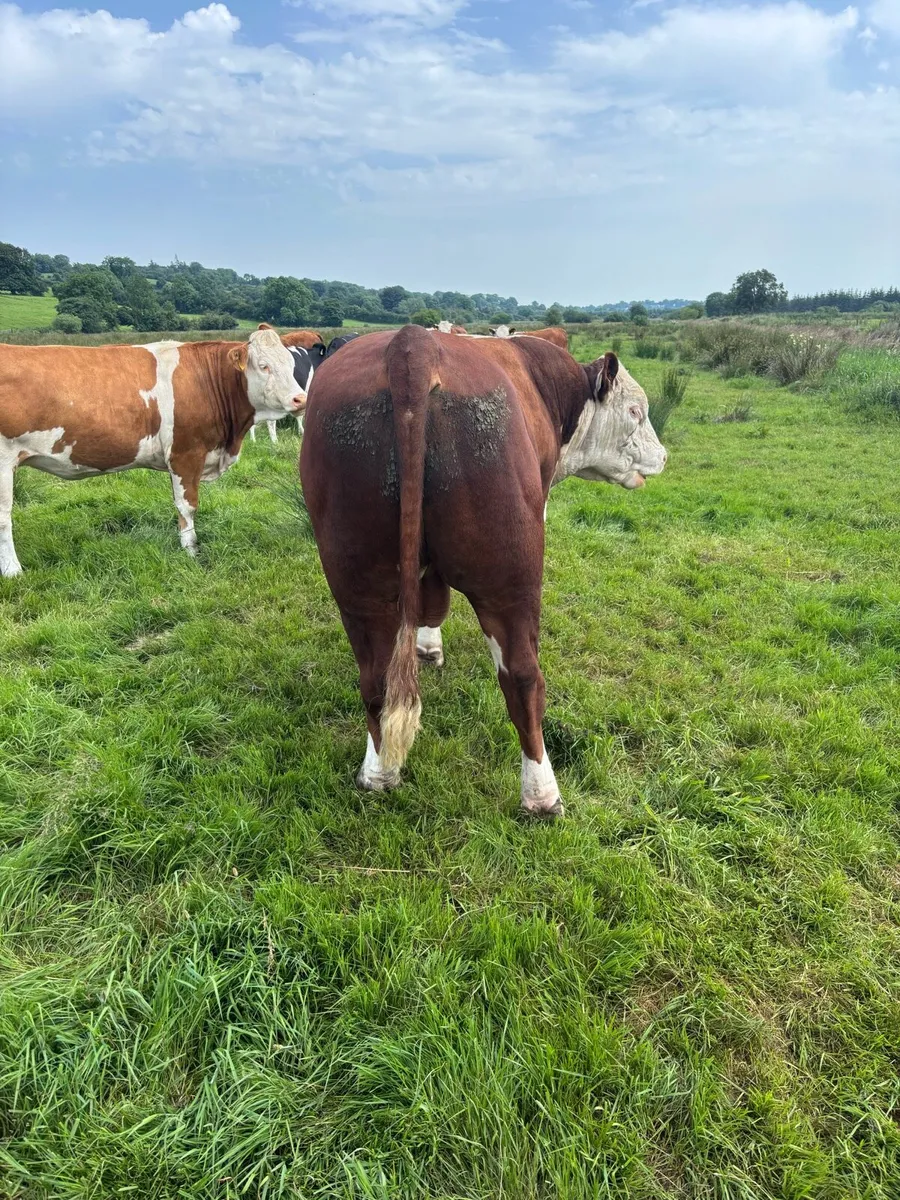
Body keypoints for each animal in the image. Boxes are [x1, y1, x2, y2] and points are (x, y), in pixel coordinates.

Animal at [0, 324, 305, 575]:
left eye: (291, 363)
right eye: (264, 366)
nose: (300, 398)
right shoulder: (185, 454)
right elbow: (187, 506)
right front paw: (191, 550)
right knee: (4, 518)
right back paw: (13, 571)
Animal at [300, 325, 667, 817]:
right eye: (635, 411)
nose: (663, 456)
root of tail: (412, 344)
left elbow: (432, 599)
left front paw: (427, 648)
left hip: (356, 576)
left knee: (376, 678)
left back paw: (378, 773)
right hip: (510, 574)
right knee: (523, 677)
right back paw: (541, 794)